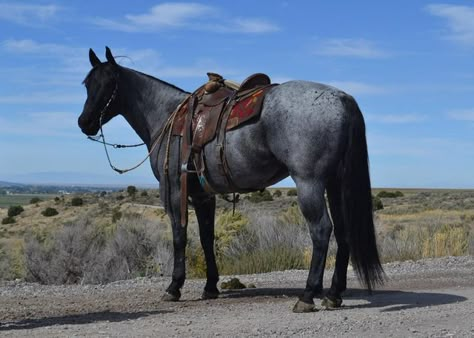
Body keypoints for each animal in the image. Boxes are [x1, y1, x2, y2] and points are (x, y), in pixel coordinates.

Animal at [77, 46, 382, 312]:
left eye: (109, 84)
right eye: (87, 84)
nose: (84, 122)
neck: (166, 117)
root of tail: (341, 99)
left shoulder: (173, 191)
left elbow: (179, 237)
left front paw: (174, 287)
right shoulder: (203, 196)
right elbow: (206, 237)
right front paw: (210, 286)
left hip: (310, 183)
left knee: (321, 231)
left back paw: (307, 296)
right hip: (335, 183)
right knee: (343, 232)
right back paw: (333, 294)